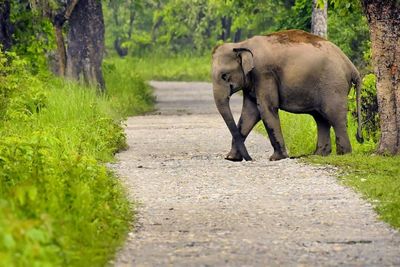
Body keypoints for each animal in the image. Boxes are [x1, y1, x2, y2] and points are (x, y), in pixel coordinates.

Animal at [212, 30, 362, 162]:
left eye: (224, 76)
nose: (250, 159)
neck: (241, 45)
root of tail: (352, 67)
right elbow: (250, 113)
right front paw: (231, 158)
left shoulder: (264, 73)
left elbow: (266, 108)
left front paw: (276, 158)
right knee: (321, 118)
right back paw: (319, 154)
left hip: (334, 85)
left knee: (335, 117)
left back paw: (343, 155)